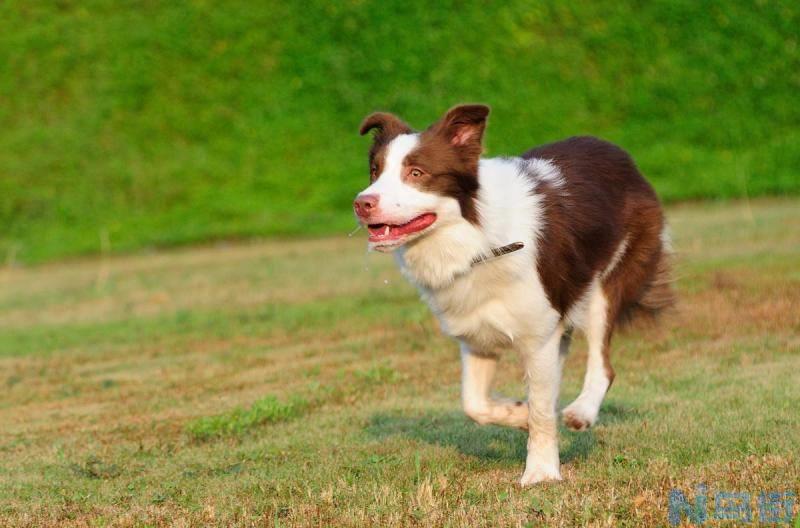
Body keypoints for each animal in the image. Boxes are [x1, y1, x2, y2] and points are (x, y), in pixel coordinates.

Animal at [354, 104, 672, 486]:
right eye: (375, 171)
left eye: (416, 173)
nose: (362, 204)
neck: (476, 239)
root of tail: (620, 155)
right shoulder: (476, 334)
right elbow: (475, 404)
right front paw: (519, 414)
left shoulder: (539, 334)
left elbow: (541, 411)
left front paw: (541, 472)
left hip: (606, 282)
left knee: (602, 362)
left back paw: (581, 411)